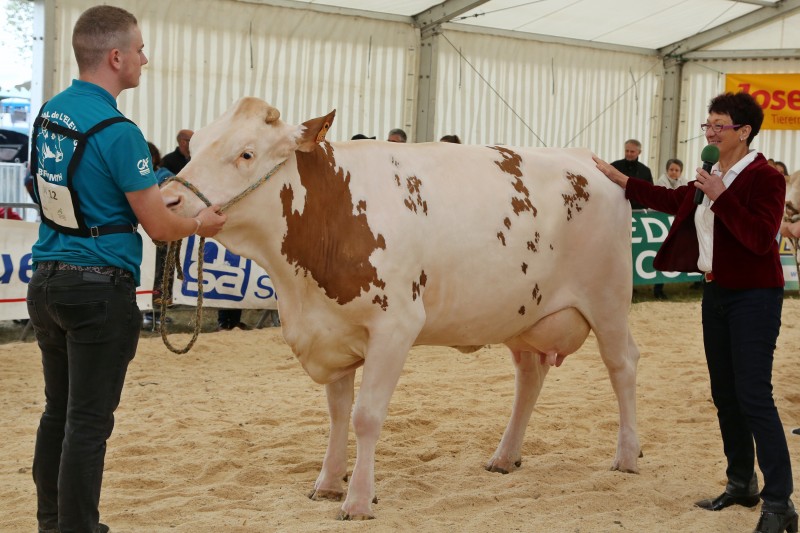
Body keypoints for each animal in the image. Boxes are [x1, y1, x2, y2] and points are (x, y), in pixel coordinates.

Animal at [162, 96, 644, 520]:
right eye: (197, 143)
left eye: (246, 153)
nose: (168, 201)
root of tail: (587, 161)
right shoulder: (331, 332)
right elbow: (338, 414)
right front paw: (327, 483)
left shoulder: (395, 327)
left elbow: (366, 416)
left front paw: (357, 500)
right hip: (523, 314)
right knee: (529, 377)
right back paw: (505, 456)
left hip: (608, 298)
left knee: (622, 365)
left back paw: (626, 455)